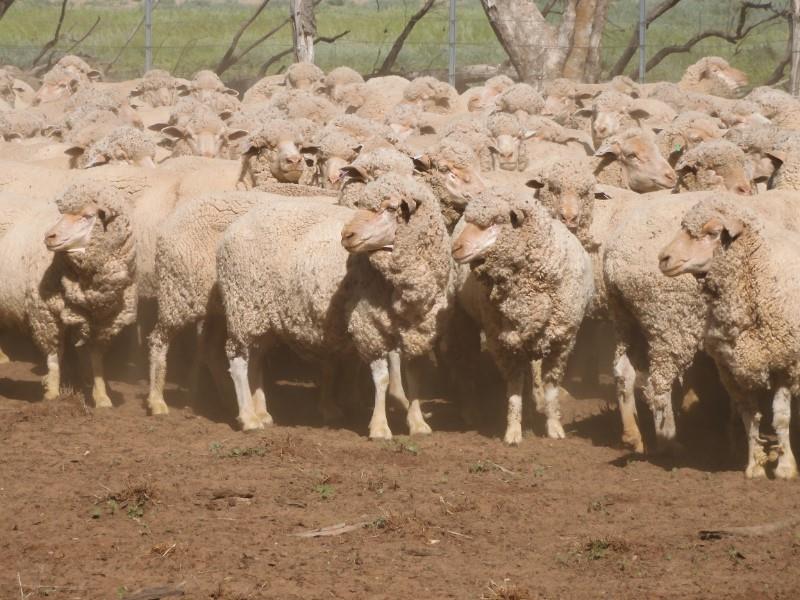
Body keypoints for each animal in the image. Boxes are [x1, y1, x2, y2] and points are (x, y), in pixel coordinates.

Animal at [0, 183, 136, 406]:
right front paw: (52, 394)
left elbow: (96, 359)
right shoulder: (45, 314)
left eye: (87, 216)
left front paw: (101, 396)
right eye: (61, 214)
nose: (49, 237)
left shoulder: (101, 320)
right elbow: (55, 355)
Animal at [217, 174, 451, 436]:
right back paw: (248, 418)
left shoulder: (418, 330)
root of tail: (233, 228)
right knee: (238, 362)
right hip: (243, 306)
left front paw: (418, 423)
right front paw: (380, 426)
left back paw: (262, 413)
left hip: (261, 316)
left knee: (256, 360)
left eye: (391, 208)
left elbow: (414, 376)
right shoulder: (368, 325)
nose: (346, 235)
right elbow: (381, 379)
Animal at [451, 187, 594, 444]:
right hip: (467, 319)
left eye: (495, 221)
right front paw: (513, 431)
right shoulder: (502, 343)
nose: (455, 248)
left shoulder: (562, 341)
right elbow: (515, 387)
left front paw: (554, 426)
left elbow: (551, 387)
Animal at [659, 196, 800, 478]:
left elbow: (781, 418)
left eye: (712, 232)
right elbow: (750, 418)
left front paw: (785, 468)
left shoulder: (785, 363)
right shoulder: (734, 371)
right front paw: (754, 465)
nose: (663, 258)